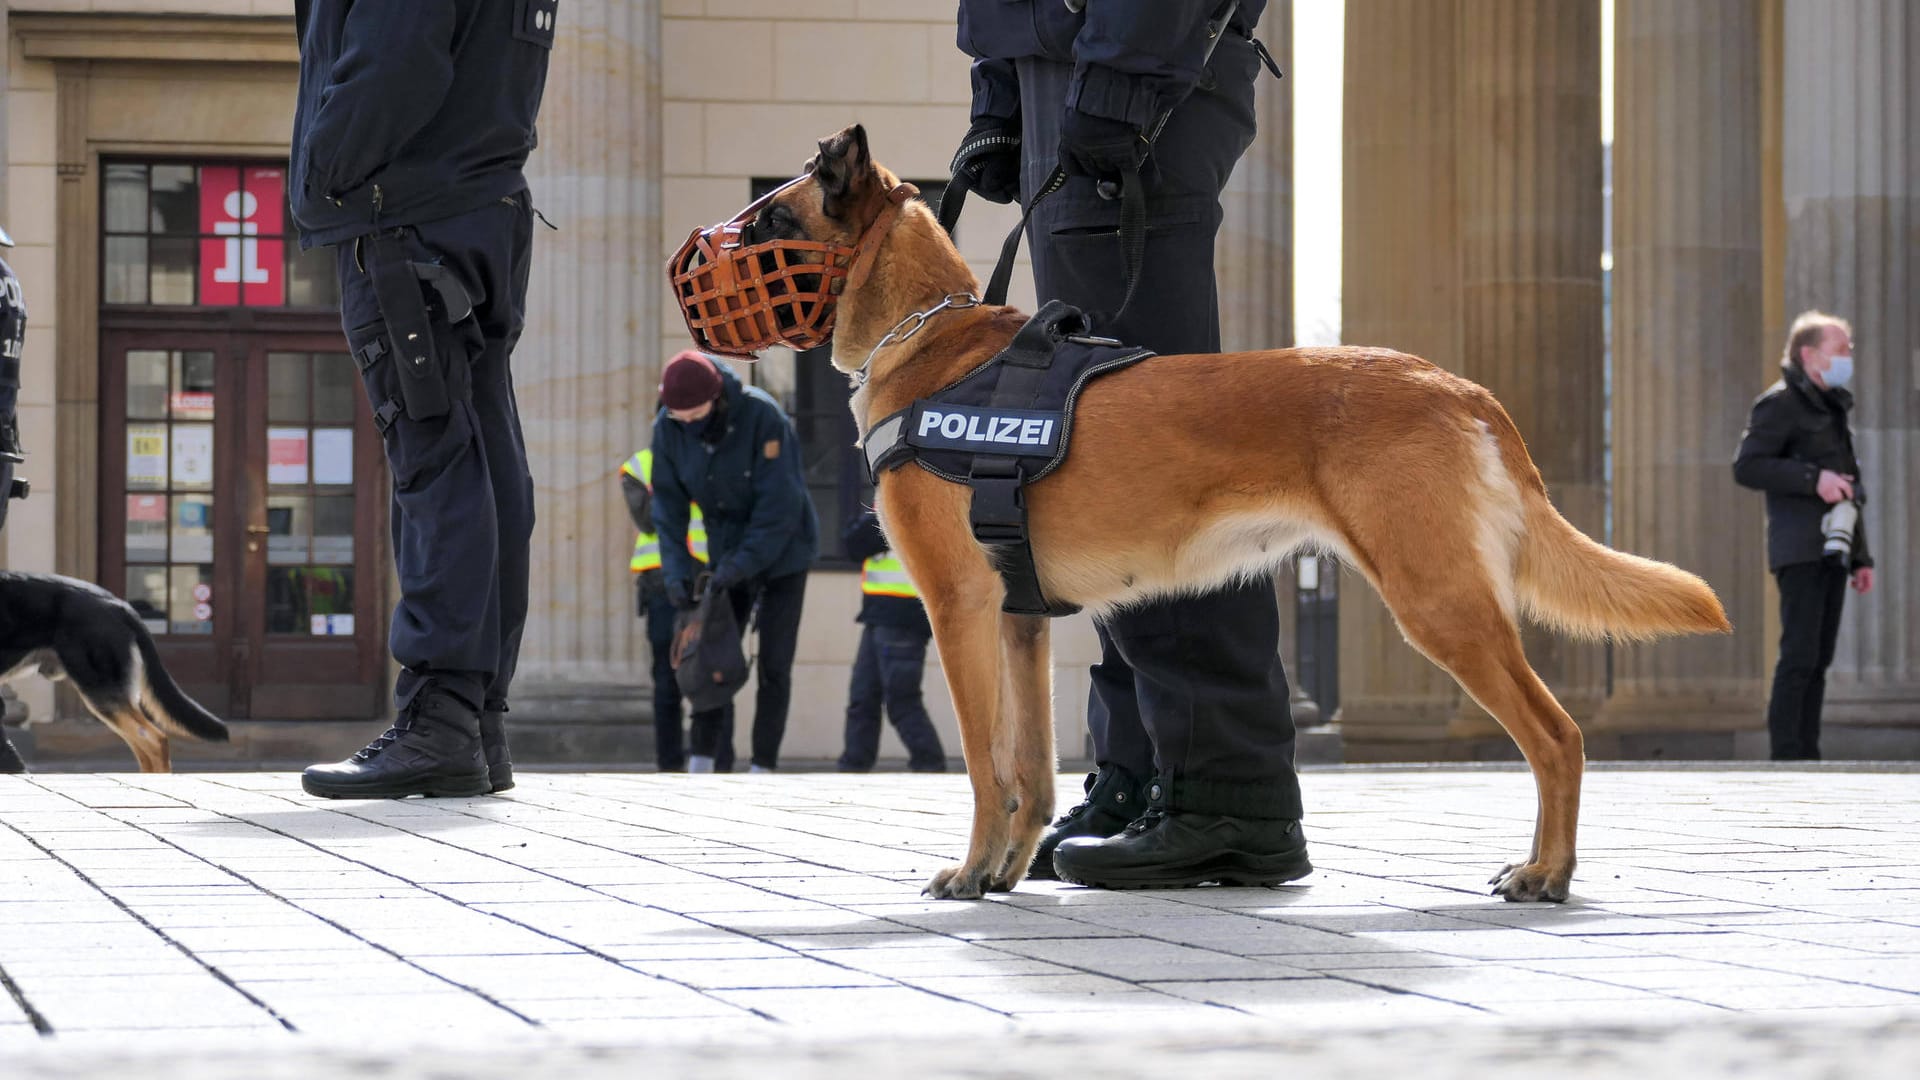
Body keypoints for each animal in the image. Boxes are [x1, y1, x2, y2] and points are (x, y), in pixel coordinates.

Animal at [725, 123, 1735, 899]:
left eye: (770, 218)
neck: (933, 339)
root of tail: (1457, 385)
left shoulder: (958, 610)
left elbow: (982, 765)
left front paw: (970, 874)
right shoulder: (1020, 622)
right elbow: (1029, 773)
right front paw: (1008, 872)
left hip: (1440, 605)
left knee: (1559, 737)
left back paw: (1545, 873)